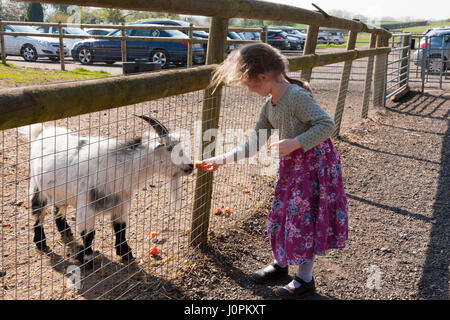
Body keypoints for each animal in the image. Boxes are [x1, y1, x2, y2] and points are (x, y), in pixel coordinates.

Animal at [19, 115, 193, 264]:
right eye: (169, 148)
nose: (190, 166)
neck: (118, 167)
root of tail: (41, 131)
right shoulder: (87, 206)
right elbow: (89, 233)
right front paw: (86, 258)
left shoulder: (121, 203)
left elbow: (120, 228)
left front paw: (125, 253)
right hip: (36, 185)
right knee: (38, 211)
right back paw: (41, 242)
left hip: (59, 191)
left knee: (58, 209)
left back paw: (66, 233)